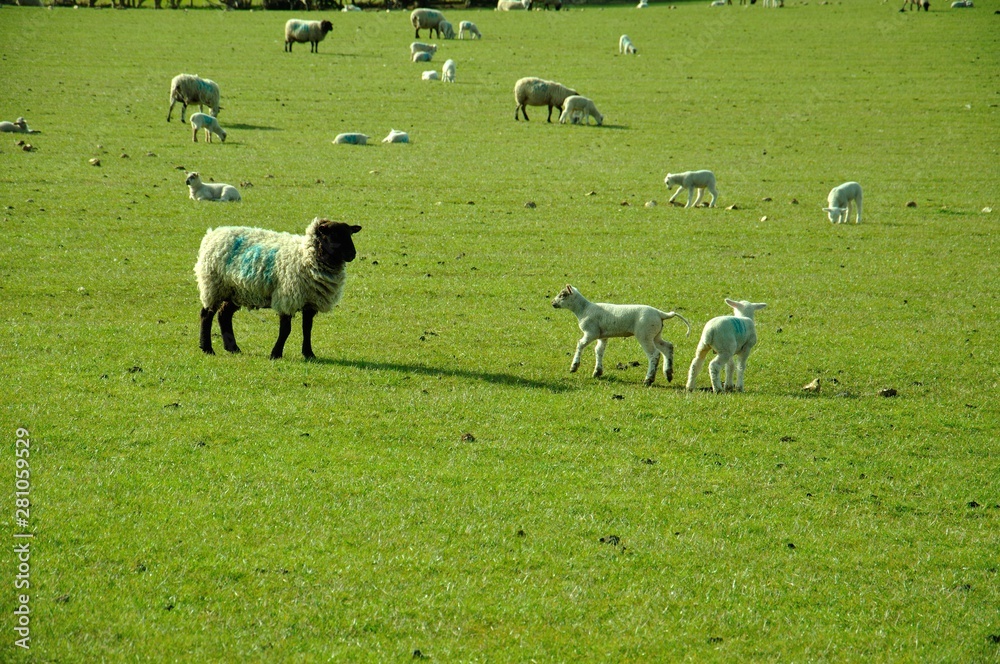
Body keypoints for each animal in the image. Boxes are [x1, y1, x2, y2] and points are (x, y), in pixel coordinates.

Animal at [194, 218, 362, 360]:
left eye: (350, 234)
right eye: (334, 236)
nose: (352, 254)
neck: (305, 256)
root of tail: (213, 233)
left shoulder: (310, 302)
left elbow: (307, 328)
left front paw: (309, 354)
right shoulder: (287, 298)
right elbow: (286, 329)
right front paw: (276, 354)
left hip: (237, 291)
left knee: (224, 315)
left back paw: (233, 348)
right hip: (213, 286)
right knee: (206, 315)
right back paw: (207, 348)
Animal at [551, 285, 691, 386]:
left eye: (562, 295)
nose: (552, 303)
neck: (583, 309)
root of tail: (660, 313)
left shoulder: (591, 332)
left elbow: (580, 344)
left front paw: (574, 367)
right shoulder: (602, 336)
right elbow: (599, 351)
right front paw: (597, 371)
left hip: (645, 334)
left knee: (654, 354)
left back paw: (649, 379)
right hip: (655, 335)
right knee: (668, 347)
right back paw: (668, 373)